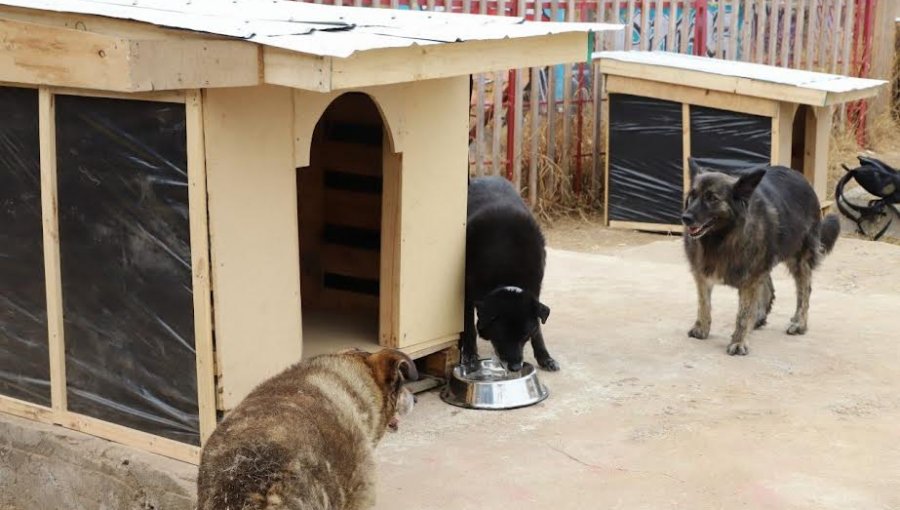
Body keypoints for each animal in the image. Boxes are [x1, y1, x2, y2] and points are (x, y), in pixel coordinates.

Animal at [460, 177, 560, 372]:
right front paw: (469, 354)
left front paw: (544, 356)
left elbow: (538, 329)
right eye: (500, 337)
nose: (515, 367)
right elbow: (468, 326)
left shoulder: (535, 292)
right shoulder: (466, 293)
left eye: (524, 337)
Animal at [684, 161, 840, 356]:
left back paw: (799, 323)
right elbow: (704, 304)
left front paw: (739, 341)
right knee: (769, 288)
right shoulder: (702, 273)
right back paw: (759, 317)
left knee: (804, 291)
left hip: (798, 259)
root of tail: (801, 177)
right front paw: (702, 328)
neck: (722, 238)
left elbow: (743, 314)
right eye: (692, 195)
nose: (685, 218)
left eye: (712, 198)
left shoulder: (750, 277)